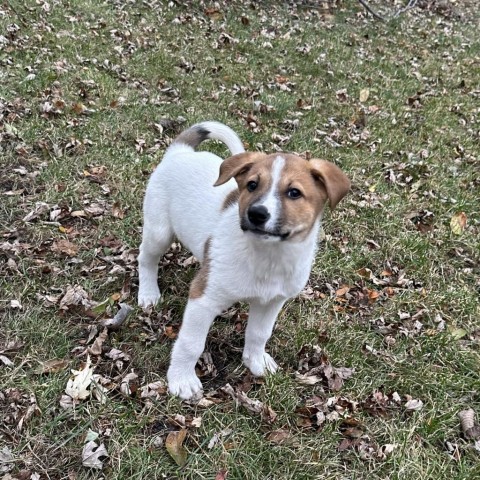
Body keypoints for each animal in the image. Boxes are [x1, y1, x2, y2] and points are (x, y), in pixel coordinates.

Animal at [137, 122, 350, 400]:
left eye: (294, 193)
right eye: (251, 185)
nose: (257, 214)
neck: (268, 257)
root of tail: (180, 152)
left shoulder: (272, 301)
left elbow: (259, 333)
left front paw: (255, 362)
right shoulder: (203, 299)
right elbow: (191, 343)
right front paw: (182, 379)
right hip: (159, 232)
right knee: (145, 257)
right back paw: (148, 293)